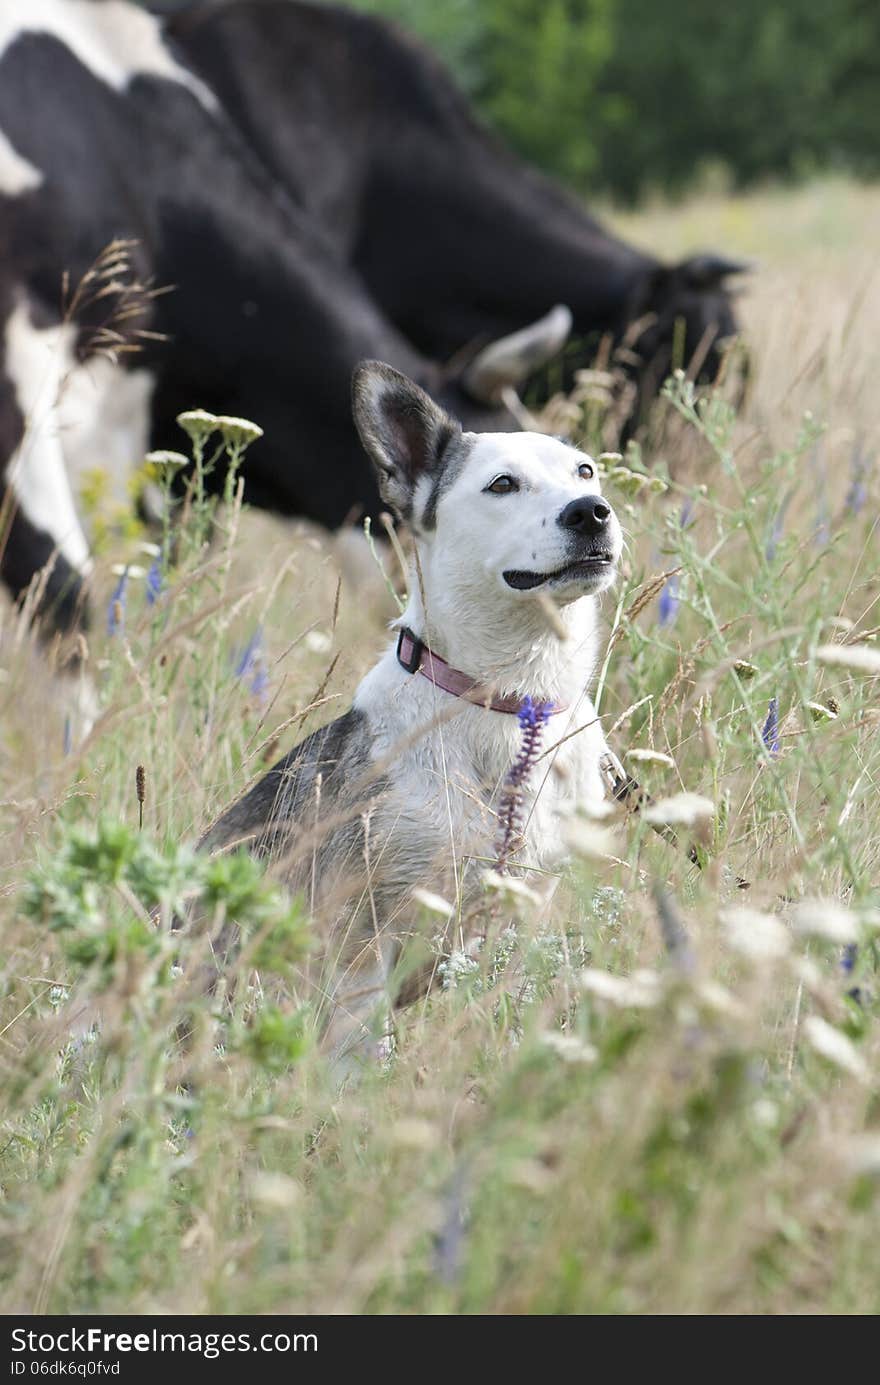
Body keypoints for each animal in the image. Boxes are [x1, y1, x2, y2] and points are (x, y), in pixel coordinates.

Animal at [202, 360, 623, 1058]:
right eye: (503, 484)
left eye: (585, 471)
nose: (592, 512)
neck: (508, 702)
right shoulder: (362, 933)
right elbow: (354, 1050)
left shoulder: (525, 916)